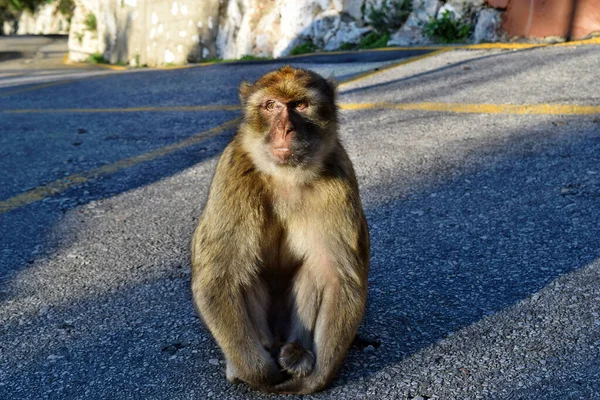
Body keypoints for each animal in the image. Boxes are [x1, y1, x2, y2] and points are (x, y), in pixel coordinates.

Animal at [192, 65, 370, 394]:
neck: (285, 177)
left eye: (300, 105)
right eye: (271, 106)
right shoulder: (233, 173)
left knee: (316, 270)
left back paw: (297, 352)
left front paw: (315, 380)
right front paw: (261, 374)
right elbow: (220, 276)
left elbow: (338, 277)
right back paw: (261, 352)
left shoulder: (339, 175)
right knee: (244, 273)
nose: (285, 129)